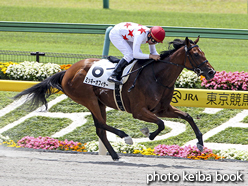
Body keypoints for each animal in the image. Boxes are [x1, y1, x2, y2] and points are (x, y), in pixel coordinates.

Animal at [13, 36, 215, 160]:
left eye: (204, 53)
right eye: (195, 54)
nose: (211, 72)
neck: (157, 76)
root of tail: (67, 71)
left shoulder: (163, 109)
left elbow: (188, 116)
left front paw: (200, 144)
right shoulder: (139, 111)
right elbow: (161, 124)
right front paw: (148, 134)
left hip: (99, 102)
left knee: (100, 128)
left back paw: (115, 154)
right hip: (88, 99)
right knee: (101, 125)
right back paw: (125, 137)